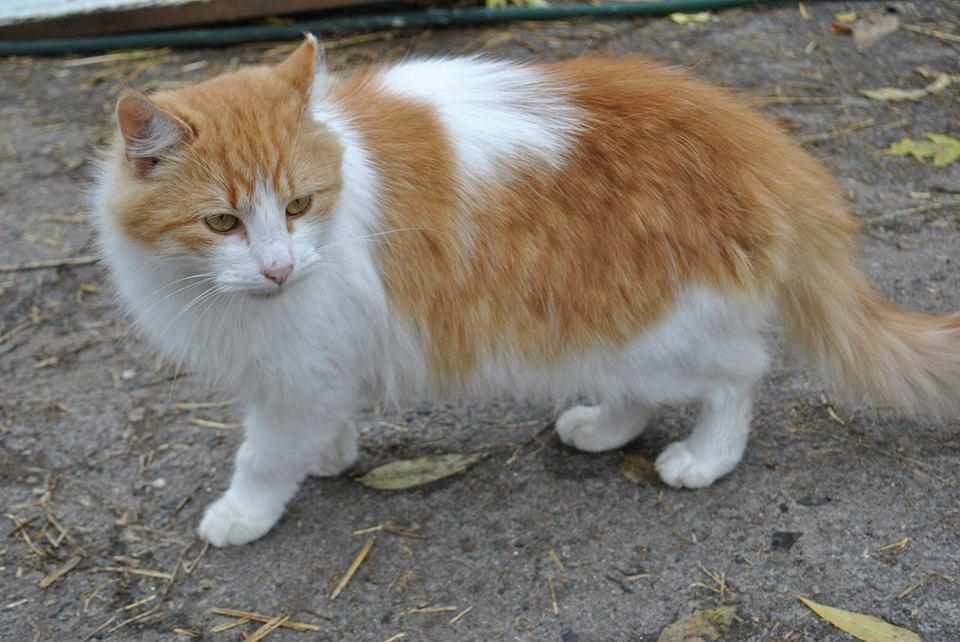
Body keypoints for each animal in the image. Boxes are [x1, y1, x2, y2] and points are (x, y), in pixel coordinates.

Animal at [92, 36, 960, 544]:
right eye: (222, 221)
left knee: (739, 376)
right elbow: (318, 422)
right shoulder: (314, 360)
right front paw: (331, 455)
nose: (277, 268)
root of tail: (759, 141)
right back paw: (599, 428)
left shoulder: (299, 365)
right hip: (599, 322)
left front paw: (244, 511)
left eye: (299, 205)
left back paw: (704, 458)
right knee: (638, 391)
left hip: (662, 328)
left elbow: (263, 454)